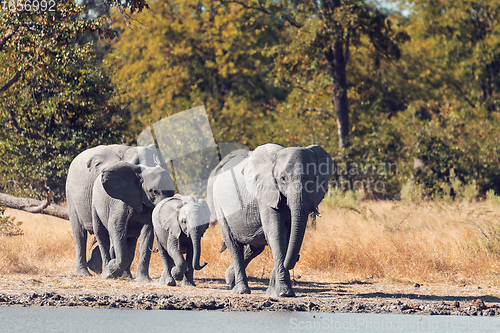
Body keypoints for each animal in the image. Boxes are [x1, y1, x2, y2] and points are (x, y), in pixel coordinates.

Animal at [65, 144, 176, 278]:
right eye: (153, 191)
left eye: (172, 192)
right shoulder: (117, 200)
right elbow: (116, 227)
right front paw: (112, 268)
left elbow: (148, 231)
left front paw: (142, 279)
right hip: (72, 195)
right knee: (81, 234)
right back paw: (87, 273)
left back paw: (124, 275)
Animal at [207, 143, 332, 296]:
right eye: (283, 178)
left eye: (314, 180)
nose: (297, 258)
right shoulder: (265, 192)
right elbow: (276, 233)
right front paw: (284, 293)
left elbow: (288, 236)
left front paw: (275, 292)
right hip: (218, 204)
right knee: (234, 246)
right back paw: (241, 291)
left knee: (254, 248)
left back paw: (230, 280)